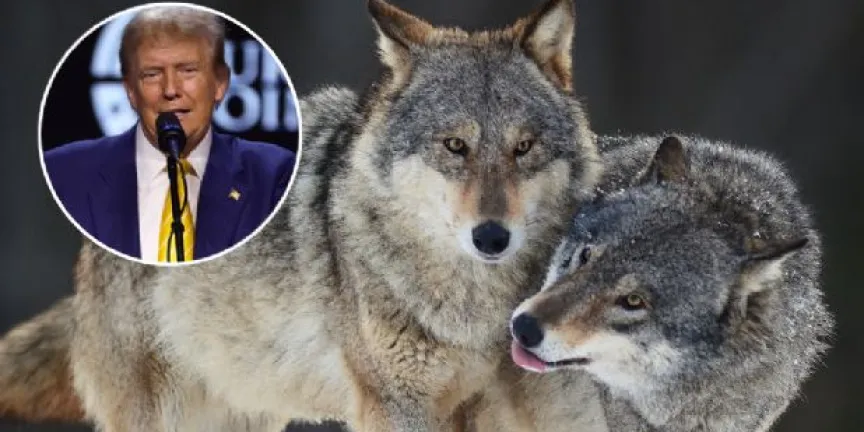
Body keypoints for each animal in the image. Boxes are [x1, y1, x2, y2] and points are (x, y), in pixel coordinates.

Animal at [1, 0, 602, 430]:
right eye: (455, 146)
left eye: (523, 148)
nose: (493, 237)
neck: (464, 301)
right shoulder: (393, 404)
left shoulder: (471, 408)